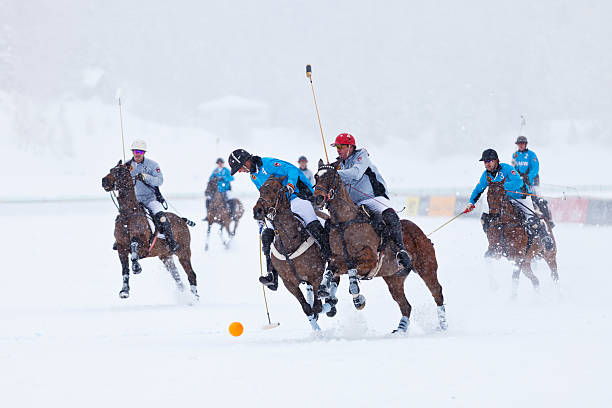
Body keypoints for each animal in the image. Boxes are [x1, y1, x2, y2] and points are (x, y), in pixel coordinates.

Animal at [102, 162, 198, 300]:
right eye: (110, 170)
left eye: (120, 172)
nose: (104, 181)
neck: (128, 213)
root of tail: (182, 220)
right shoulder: (121, 247)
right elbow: (125, 270)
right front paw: (124, 291)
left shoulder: (144, 244)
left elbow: (134, 245)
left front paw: (136, 267)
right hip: (165, 256)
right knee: (177, 277)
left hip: (183, 251)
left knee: (191, 274)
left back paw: (195, 298)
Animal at [251, 177, 332, 330]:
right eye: (260, 189)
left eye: (275, 189)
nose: (257, 211)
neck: (290, 241)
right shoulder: (289, 283)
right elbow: (307, 308)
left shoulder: (316, 276)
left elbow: (317, 306)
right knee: (267, 235)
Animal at [314, 161, 448, 334]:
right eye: (316, 177)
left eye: (331, 176)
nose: (317, 198)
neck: (344, 223)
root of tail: (422, 233)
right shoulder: (337, 257)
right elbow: (333, 268)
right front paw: (324, 288)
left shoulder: (370, 259)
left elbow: (351, 267)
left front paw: (357, 296)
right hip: (394, 278)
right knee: (405, 305)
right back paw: (400, 330)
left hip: (426, 266)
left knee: (437, 292)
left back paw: (443, 324)